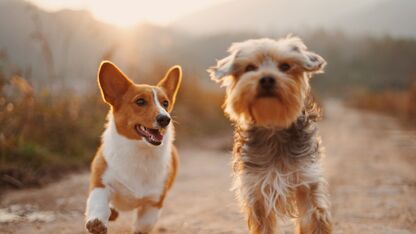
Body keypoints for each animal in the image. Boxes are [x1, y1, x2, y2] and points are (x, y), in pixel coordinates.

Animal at [84, 61, 180, 234]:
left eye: (165, 103)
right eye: (140, 101)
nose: (165, 119)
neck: (139, 151)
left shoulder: (153, 203)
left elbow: (144, 225)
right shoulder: (101, 182)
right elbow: (98, 202)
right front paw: (97, 222)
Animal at [210, 35, 334, 233]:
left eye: (285, 66)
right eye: (250, 68)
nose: (267, 79)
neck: (273, 126)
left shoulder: (306, 181)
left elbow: (315, 220)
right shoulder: (256, 190)